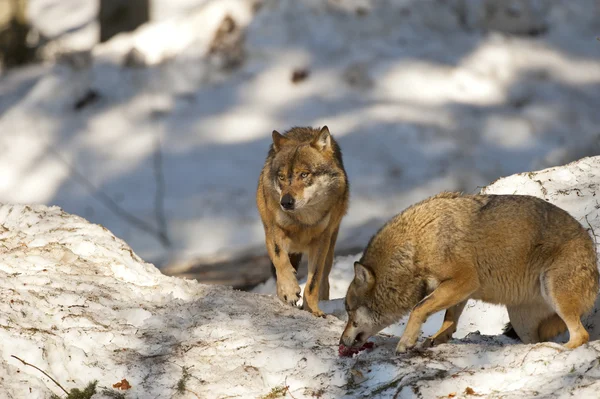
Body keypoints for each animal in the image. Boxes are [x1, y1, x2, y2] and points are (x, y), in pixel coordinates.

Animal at [255, 126, 350, 318]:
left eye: (304, 174)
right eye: (282, 177)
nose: (286, 202)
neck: (302, 220)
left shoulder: (321, 242)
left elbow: (312, 282)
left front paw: (313, 310)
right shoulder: (274, 231)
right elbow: (281, 261)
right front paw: (290, 291)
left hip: (330, 249)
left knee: (324, 280)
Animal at [340, 194, 596, 354]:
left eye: (349, 311)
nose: (341, 341)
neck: (416, 247)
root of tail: (591, 245)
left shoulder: (464, 280)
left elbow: (418, 309)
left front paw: (406, 343)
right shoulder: (460, 290)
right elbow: (448, 320)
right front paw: (436, 339)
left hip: (555, 296)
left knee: (581, 335)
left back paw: (561, 350)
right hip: (521, 322)